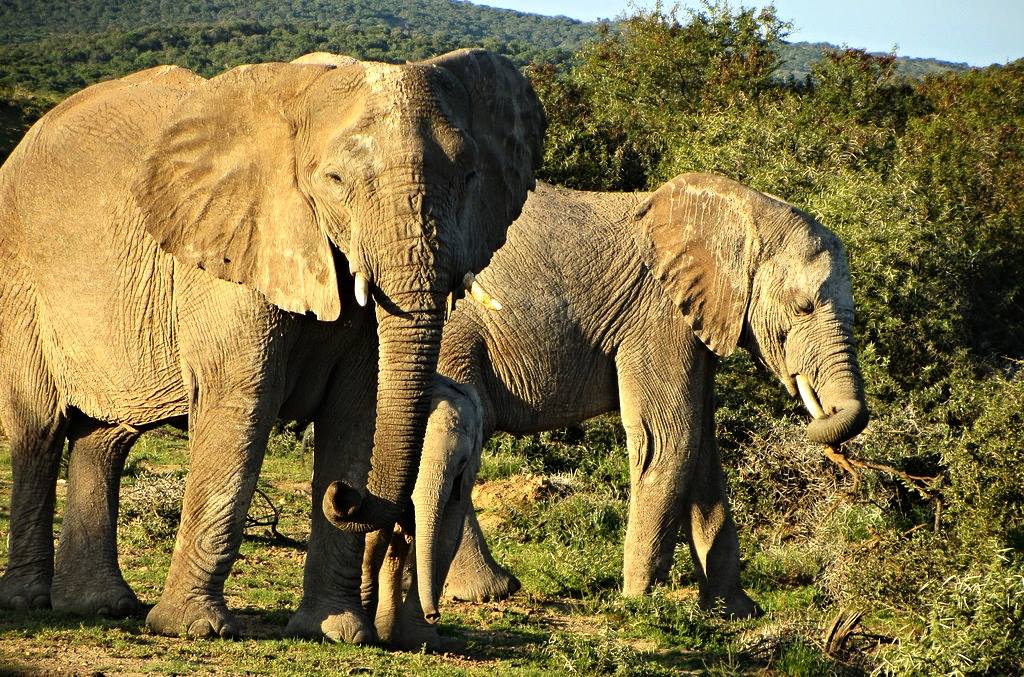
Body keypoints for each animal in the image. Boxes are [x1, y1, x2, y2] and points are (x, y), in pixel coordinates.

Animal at [0, 49, 545, 642]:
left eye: (470, 176)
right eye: (334, 180)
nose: (347, 497)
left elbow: (357, 411)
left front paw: (335, 632)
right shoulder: (231, 256)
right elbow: (244, 403)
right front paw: (195, 629)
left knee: (107, 437)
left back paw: (99, 607)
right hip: (19, 278)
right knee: (39, 430)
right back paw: (29, 601)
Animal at [373, 173, 869, 618]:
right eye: (802, 307)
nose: (822, 419)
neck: (741, 211)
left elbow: (703, 451)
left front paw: (736, 612)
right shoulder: (658, 315)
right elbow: (670, 438)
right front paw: (637, 602)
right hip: (455, 336)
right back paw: (488, 591)